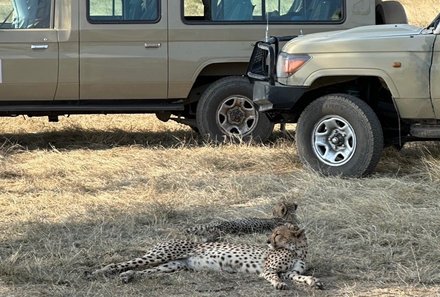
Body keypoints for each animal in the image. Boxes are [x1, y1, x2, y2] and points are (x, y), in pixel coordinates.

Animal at [91, 222, 322, 290]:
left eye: (277, 234)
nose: (267, 240)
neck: (297, 250)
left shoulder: (290, 272)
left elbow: (300, 276)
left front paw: (313, 281)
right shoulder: (268, 269)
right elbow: (274, 276)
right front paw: (278, 284)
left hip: (172, 265)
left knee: (144, 271)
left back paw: (127, 276)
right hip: (161, 255)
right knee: (121, 263)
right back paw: (97, 272)